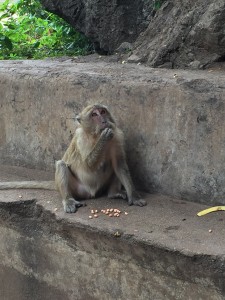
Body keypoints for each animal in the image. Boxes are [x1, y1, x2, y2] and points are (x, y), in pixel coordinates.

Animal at [0, 104, 146, 212]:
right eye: (94, 115)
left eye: (103, 112)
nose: (104, 120)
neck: (94, 135)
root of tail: (91, 194)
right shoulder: (81, 138)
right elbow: (88, 165)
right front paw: (103, 138)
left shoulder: (117, 136)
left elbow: (120, 164)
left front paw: (134, 196)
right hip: (77, 189)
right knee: (61, 165)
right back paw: (68, 200)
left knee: (115, 166)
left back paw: (113, 193)